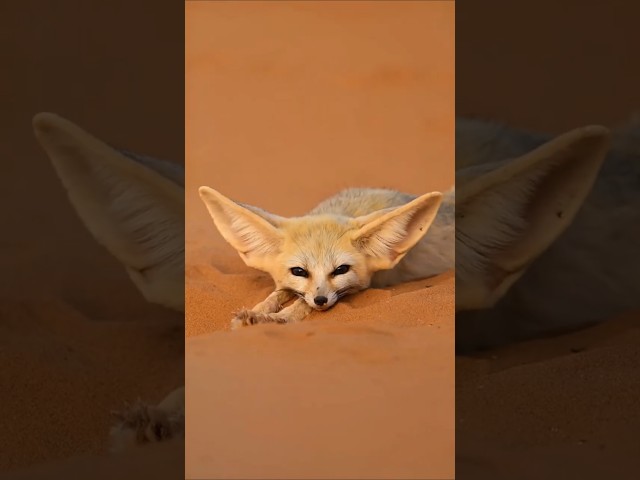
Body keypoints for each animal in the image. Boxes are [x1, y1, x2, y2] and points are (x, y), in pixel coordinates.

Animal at [198, 184, 455, 328]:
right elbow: (277, 295)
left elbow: (302, 303)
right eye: (299, 271)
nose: (321, 300)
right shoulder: (288, 284)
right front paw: (255, 313)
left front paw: (278, 319)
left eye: (340, 270)